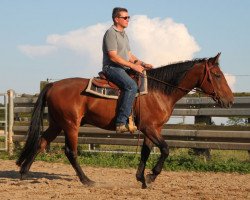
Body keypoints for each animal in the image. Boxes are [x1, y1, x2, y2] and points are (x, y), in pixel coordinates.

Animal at [16, 52, 234, 188]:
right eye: (217, 75)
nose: (230, 100)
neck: (158, 90)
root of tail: (53, 85)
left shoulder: (153, 129)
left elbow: (146, 152)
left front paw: (142, 178)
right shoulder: (150, 128)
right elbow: (165, 149)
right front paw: (151, 176)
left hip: (57, 123)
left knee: (41, 142)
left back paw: (24, 173)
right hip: (70, 125)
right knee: (70, 152)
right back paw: (87, 180)